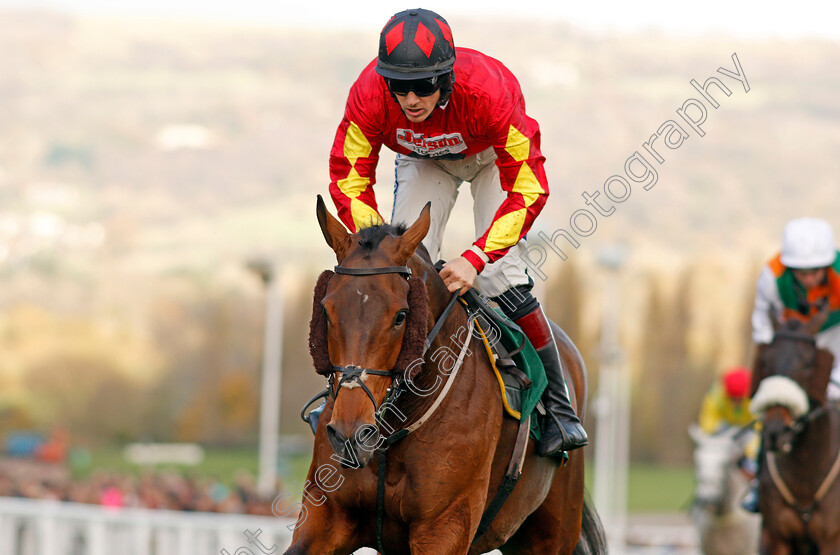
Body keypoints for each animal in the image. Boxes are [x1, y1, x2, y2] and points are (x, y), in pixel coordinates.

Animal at [282, 198, 604, 555]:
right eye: (326, 311)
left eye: (401, 315)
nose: (350, 435)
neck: (395, 428)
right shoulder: (326, 516)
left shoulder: (445, 526)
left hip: (552, 532)